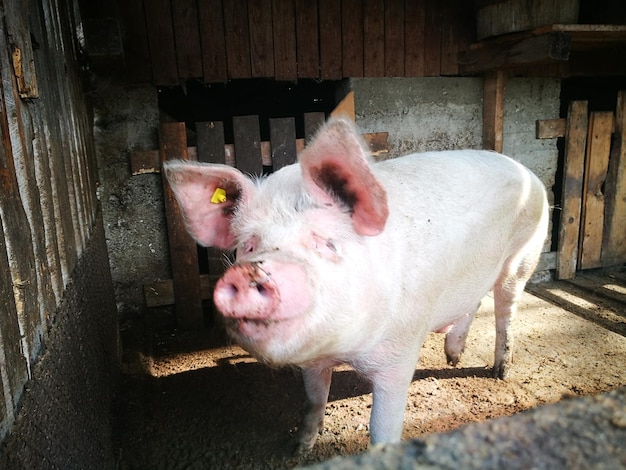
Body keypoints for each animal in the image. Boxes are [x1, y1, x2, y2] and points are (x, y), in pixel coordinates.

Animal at [163, 119, 548, 454]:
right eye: (249, 245)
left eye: (326, 243)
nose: (248, 273)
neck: (344, 351)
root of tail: (525, 170)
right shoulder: (313, 361)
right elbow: (314, 399)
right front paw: (298, 448)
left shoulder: (401, 353)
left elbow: (382, 428)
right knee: (474, 303)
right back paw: (453, 357)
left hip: (523, 257)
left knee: (505, 310)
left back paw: (499, 371)